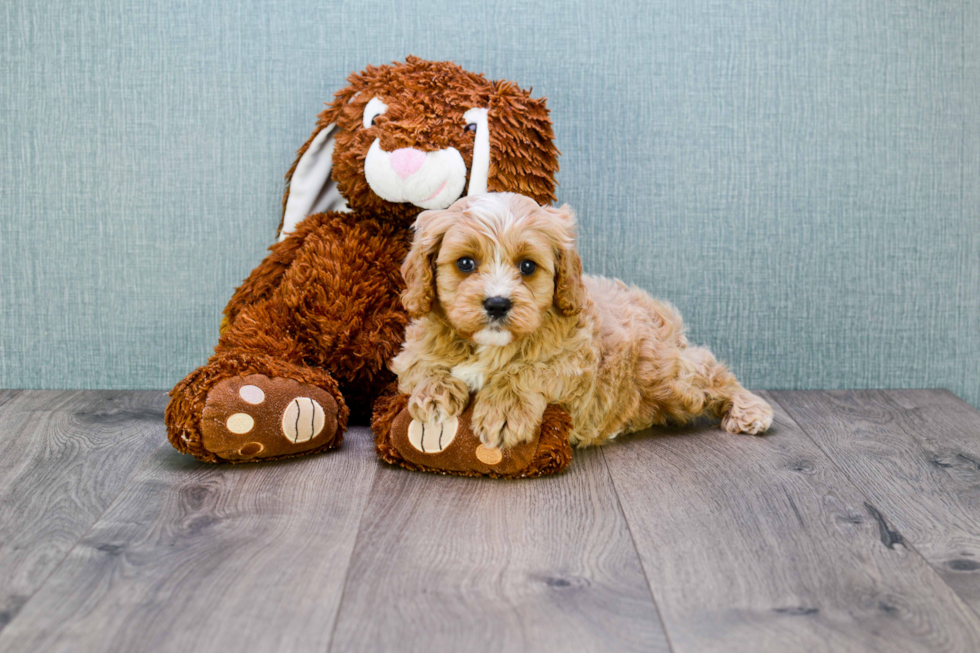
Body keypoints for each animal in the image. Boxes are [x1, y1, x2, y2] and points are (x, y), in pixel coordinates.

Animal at [390, 191, 772, 450]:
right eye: (465, 263)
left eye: (527, 266)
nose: (497, 304)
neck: (489, 346)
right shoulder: (411, 351)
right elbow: (423, 364)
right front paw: (434, 392)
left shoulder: (575, 360)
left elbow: (527, 370)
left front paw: (505, 408)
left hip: (668, 373)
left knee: (713, 373)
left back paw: (750, 410)